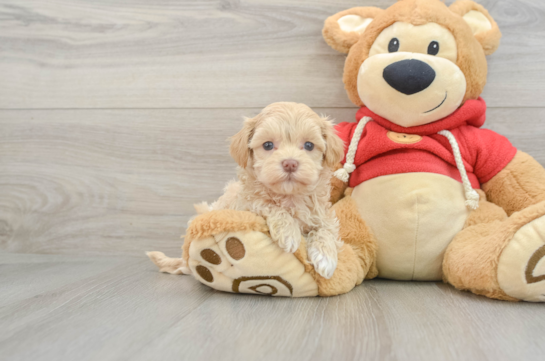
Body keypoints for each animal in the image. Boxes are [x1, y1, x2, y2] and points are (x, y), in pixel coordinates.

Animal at [200, 101, 344, 278]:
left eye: (309, 145)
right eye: (268, 145)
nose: (290, 163)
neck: (290, 196)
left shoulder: (323, 213)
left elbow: (327, 228)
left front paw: (326, 257)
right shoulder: (247, 204)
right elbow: (267, 204)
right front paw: (288, 233)